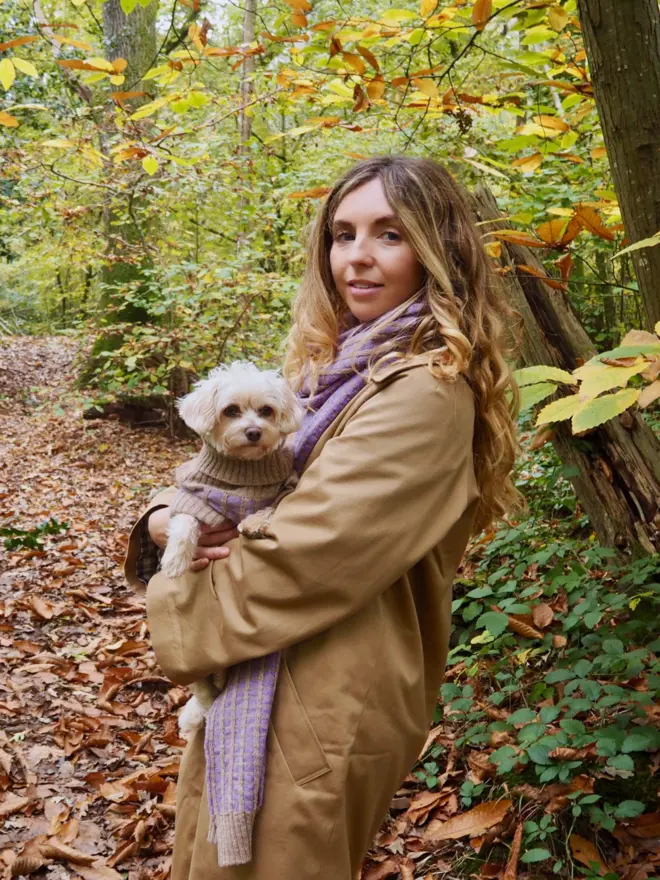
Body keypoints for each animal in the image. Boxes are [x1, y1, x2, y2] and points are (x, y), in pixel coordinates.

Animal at [162, 360, 302, 736]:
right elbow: (184, 524)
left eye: (266, 411)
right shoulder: (193, 496)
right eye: (231, 411)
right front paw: (175, 560)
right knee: (203, 691)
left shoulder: (283, 488)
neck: (244, 470)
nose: (254, 432)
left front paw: (253, 522)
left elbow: (269, 508)